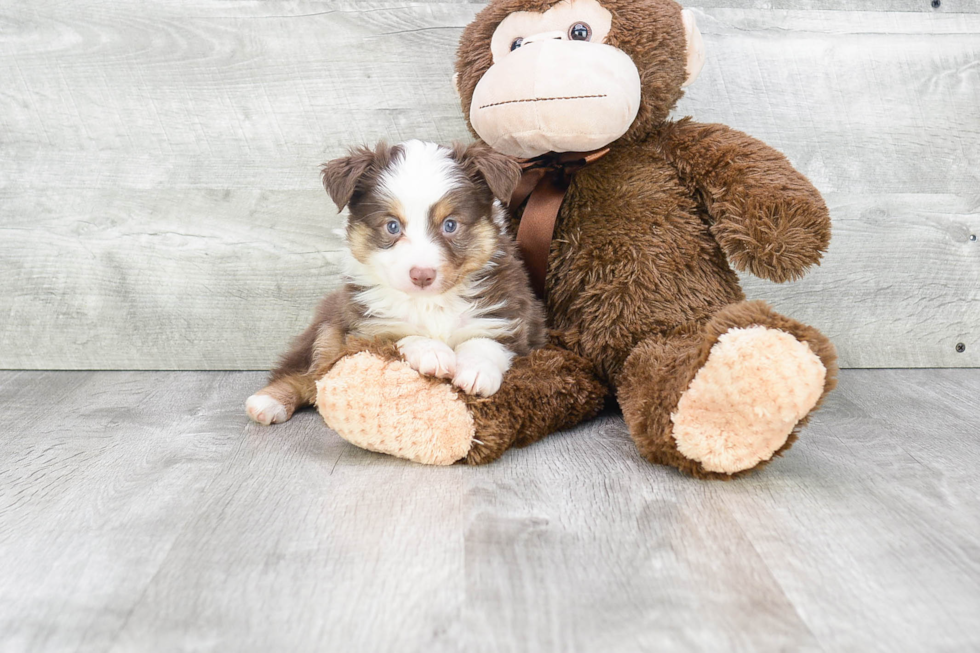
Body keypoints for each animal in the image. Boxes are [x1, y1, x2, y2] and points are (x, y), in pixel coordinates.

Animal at [245, 140, 548, 426]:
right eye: (392, 226)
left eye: (450, 225)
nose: (422, 275)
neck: (432, 303)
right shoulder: (364, 327)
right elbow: (399, 333)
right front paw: (433, 352)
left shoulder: (512, 314)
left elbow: (486, 341)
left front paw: (475, 371)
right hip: (328, 326)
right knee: (304, 370)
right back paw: (268, 402)